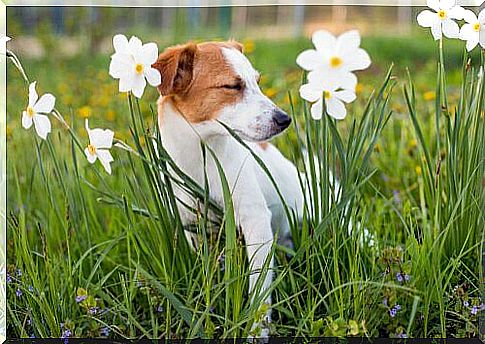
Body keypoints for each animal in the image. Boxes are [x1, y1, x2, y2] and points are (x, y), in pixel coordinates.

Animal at [152, 40, 302, 336]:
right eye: (232, 86)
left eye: (257, 82)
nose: (284, 119)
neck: (201, 158)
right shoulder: (193, 227)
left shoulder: (256, 222)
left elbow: (259, 290)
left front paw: (257, 331)